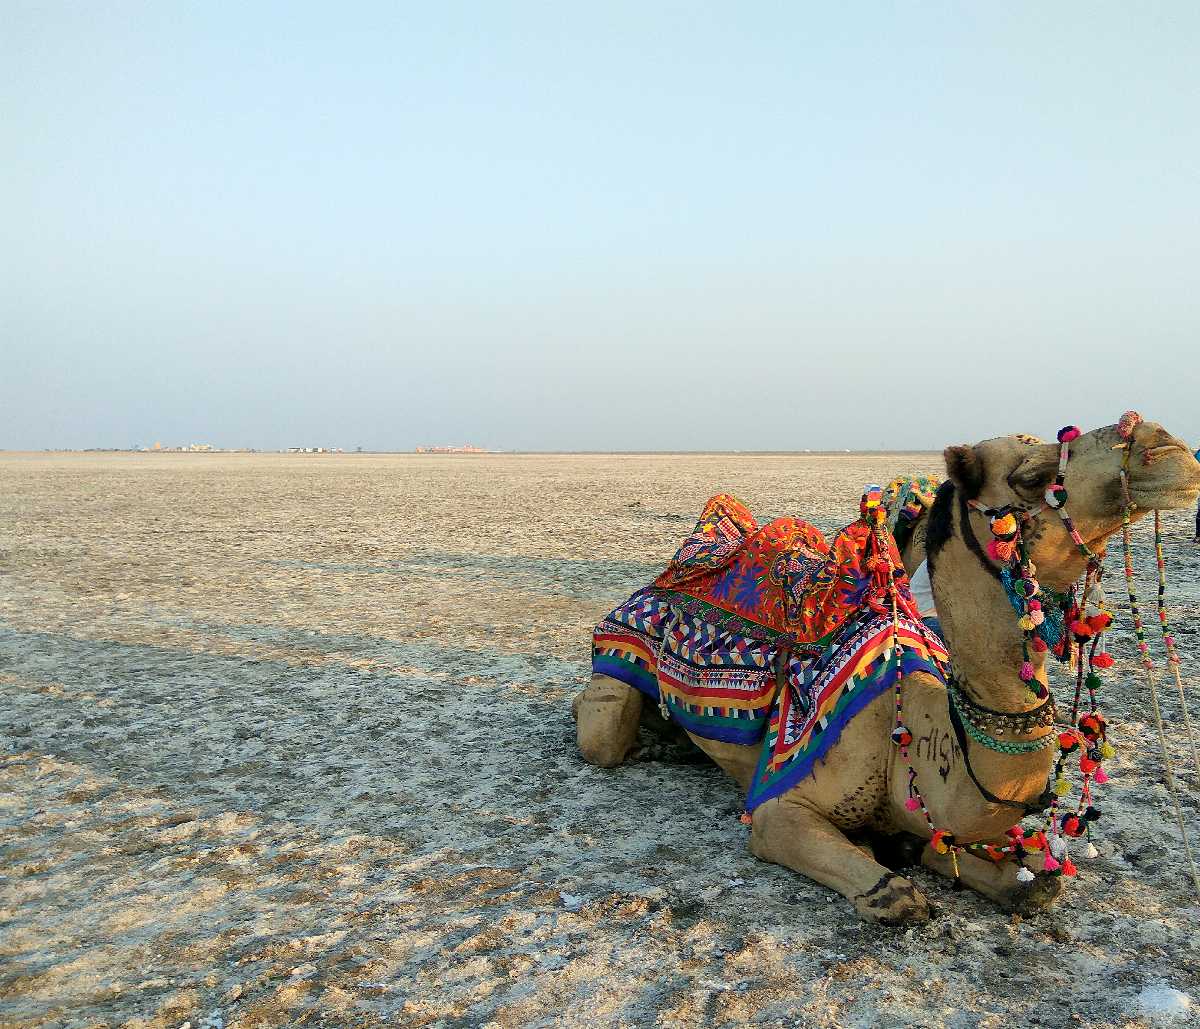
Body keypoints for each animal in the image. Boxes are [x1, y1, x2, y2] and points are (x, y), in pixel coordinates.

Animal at [573, 417, 1200, 921]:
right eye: (1033, 475)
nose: (1165, 444)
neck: (919, 740)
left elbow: (1032, 884)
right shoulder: (780, 806)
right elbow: (896, 896)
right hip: (614, 664)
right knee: (600, 731)